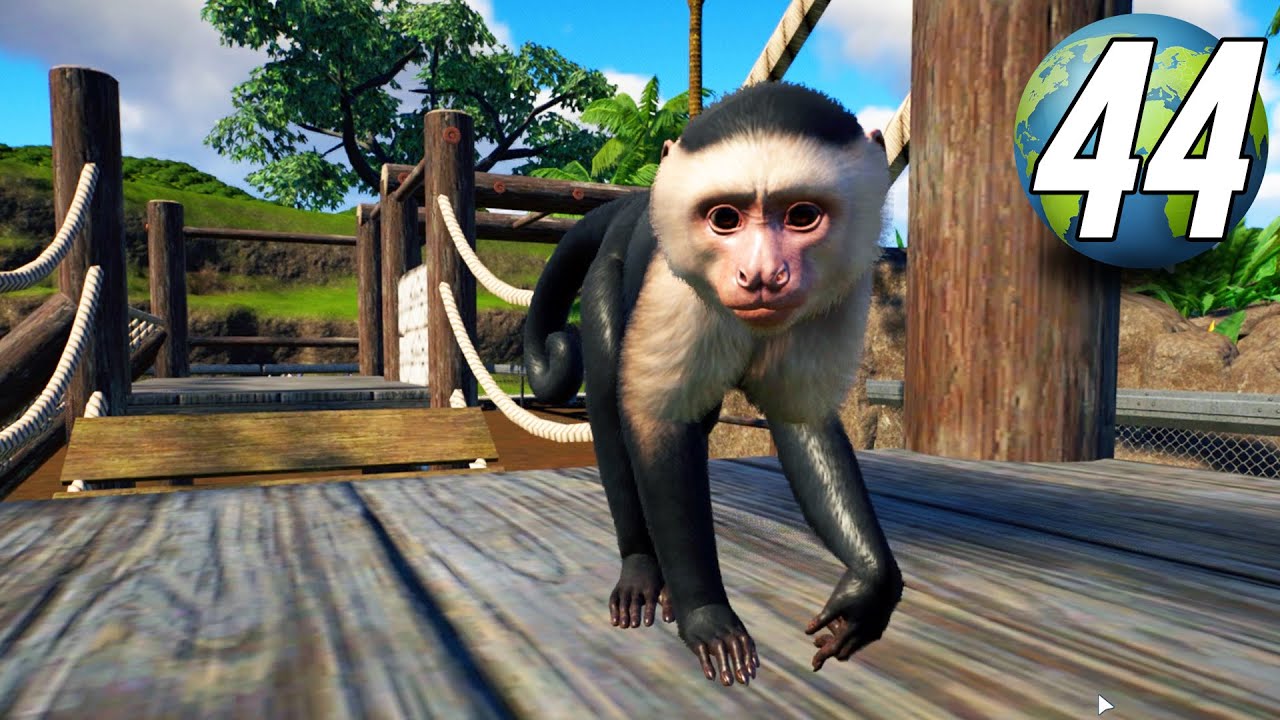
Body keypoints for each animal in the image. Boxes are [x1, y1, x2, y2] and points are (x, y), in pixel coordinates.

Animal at [523, 81, 903, 687]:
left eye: (802, 215)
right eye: (724, 219)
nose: (761, 275)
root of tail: (634, 203)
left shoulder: (840, 290)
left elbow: (801, 418)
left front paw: (869, 582)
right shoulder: (672, 285)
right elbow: (656, 422)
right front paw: (706, 615)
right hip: (609, 276)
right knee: (610, 399)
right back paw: (642, 568)